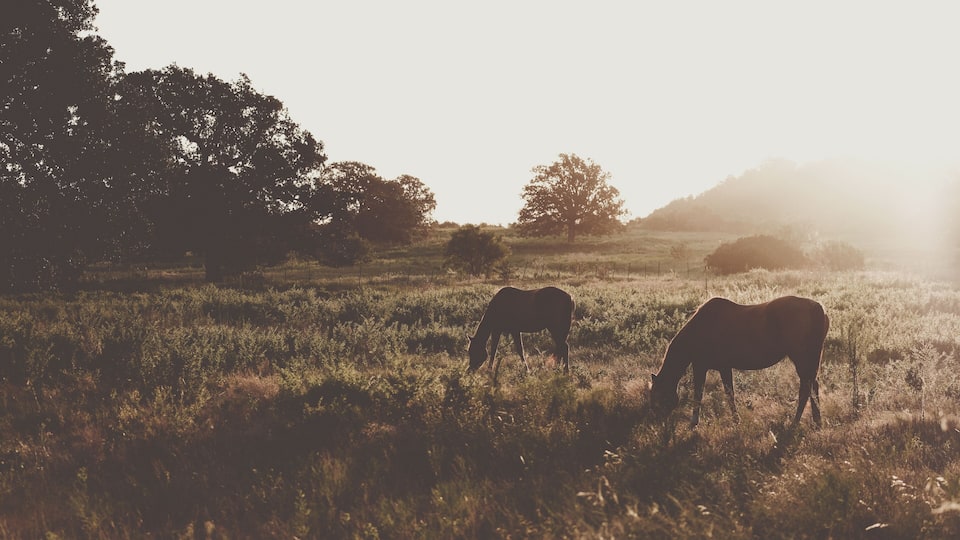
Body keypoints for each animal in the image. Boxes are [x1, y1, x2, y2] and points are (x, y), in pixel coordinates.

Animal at [650, 295, 829, 428]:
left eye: (657, 397)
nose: (657, 422)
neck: (700, 330)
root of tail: (818, 309)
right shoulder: (721, 368)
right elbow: (728, 393)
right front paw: (736, 420)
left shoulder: (703, 367)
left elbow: (703, 393)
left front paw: (695, 423)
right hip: (810, 360)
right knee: (813, 386)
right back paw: (817, 422)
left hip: (802, 359)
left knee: (805, 389)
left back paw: (795, 422)